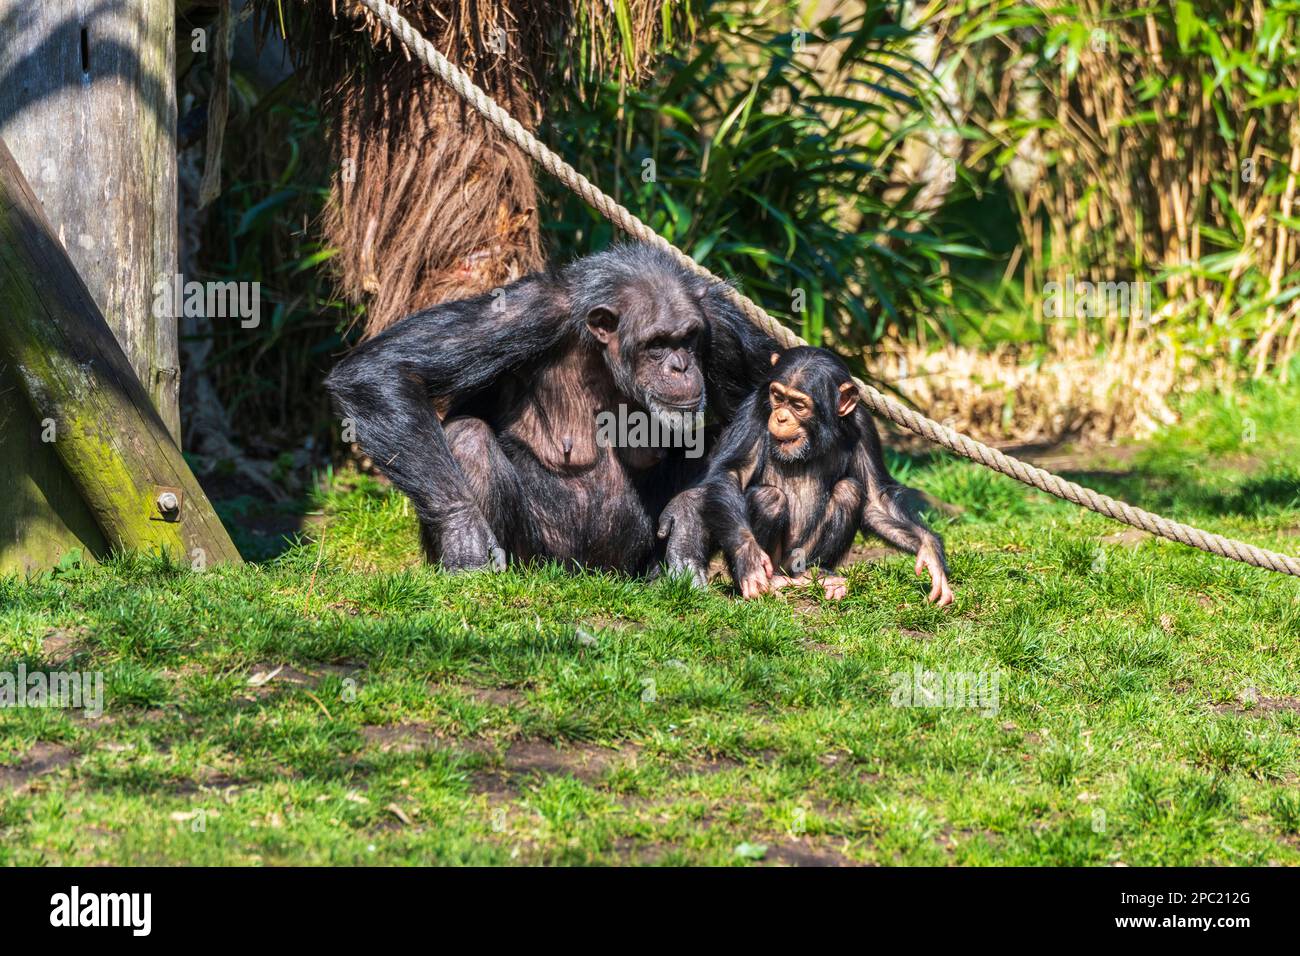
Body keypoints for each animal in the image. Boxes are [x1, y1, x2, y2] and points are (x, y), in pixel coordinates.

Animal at [323, 247, 774, 574]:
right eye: (657, 344)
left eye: (688, 337)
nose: (681, 366)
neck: (602, 356)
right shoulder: (522, 312)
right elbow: (384, 369)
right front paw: (463, 532)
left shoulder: (720, 325)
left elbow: (766, 387)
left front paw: (687, 520)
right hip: (539, 559)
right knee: (467, 435)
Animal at [702, 345, 956, 606]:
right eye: (777, 397)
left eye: (798, 405)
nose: (780, 417)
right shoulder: (752, 410)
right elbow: (731, 473)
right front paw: (749, 558)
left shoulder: (864, 424)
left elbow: (876, 497)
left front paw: (929, 550)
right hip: (776, 562)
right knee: (769, 498)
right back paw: (771, 580)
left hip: (802, 556)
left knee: (849, 491)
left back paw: (821, 575)